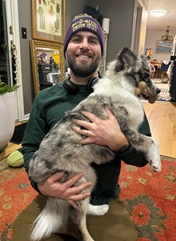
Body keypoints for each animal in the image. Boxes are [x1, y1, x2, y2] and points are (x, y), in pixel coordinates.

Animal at [28, 47, 162, 241]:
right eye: (145, 75)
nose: (159, 91)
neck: (122, 86)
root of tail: (35, 173)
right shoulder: (125, 130)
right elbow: (152, 141)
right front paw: (156, 163)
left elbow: (149, 140)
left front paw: (153, 161)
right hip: (76, 183)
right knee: (78, 220)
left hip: (89, 176)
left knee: (83, 208)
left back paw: (99, 209)